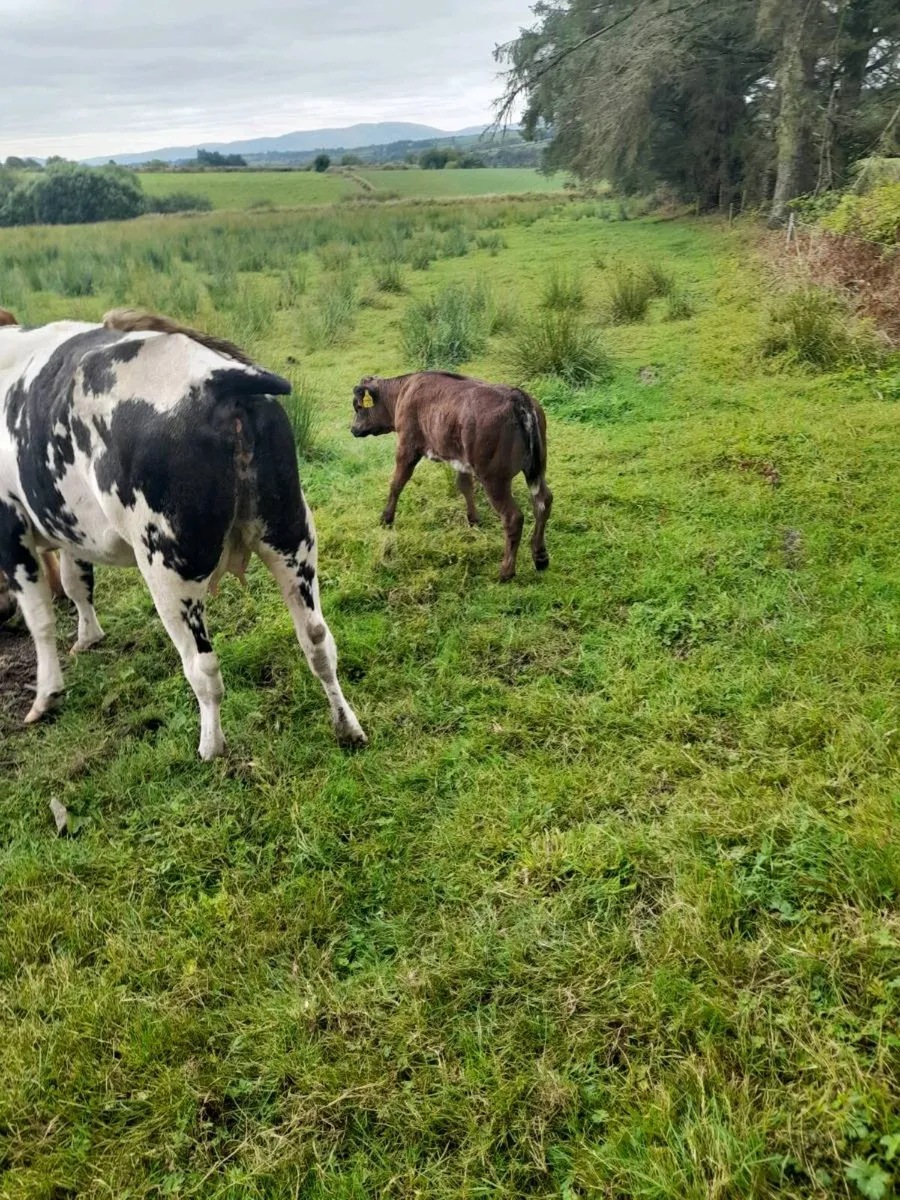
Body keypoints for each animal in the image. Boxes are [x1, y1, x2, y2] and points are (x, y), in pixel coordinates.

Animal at [0, 308, 366, 759]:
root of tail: (218, 378)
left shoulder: (11, 527)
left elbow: (41, 618)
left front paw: (47, 694)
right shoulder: (69, 529)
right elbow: (76, 584)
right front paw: (88, 637)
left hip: (167, 567)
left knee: (204, 667)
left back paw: (211, 746)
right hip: (292, 534)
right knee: (317, 640)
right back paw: (346, 726)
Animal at [350, 371, 552, 581]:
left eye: (358, 407)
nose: (353, 429)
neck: (402, 391)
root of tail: (517, 397)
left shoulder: (407, 448)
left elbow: (396, 483)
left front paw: (386, 519)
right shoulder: (461, 460)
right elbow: (464, 485)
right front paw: (473, 520)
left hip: (494, 478)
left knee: (513, 517)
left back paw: (506, 572)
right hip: (536, 469)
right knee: (543, 501)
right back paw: (540, 556)